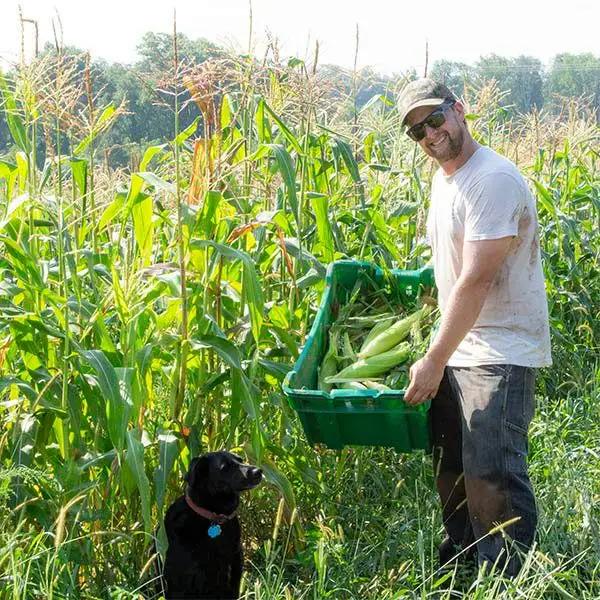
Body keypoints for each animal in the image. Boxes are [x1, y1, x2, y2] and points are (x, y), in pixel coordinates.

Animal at [162, 452, 262, 596]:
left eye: (241, 460)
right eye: (225, 467)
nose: (258, 471)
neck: (215, 517)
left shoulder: (233, 573)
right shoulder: (181, 581)